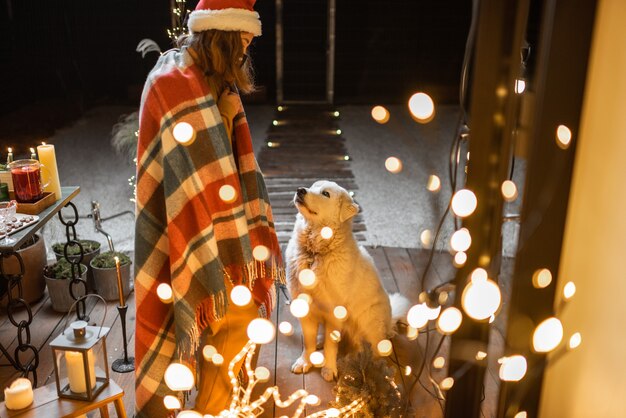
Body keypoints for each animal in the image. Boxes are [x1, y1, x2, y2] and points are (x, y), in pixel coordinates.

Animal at [284, 180, 410, 382]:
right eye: (312, 186)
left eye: (325, 194)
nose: (300, 190)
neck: (314, 253)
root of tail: (389, 322)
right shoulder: (306, 309)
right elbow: (309, 342)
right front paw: (305, 362)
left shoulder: (334, 314)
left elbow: (331, 346)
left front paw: (328, 369)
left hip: (368, 320)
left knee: (370, 348)